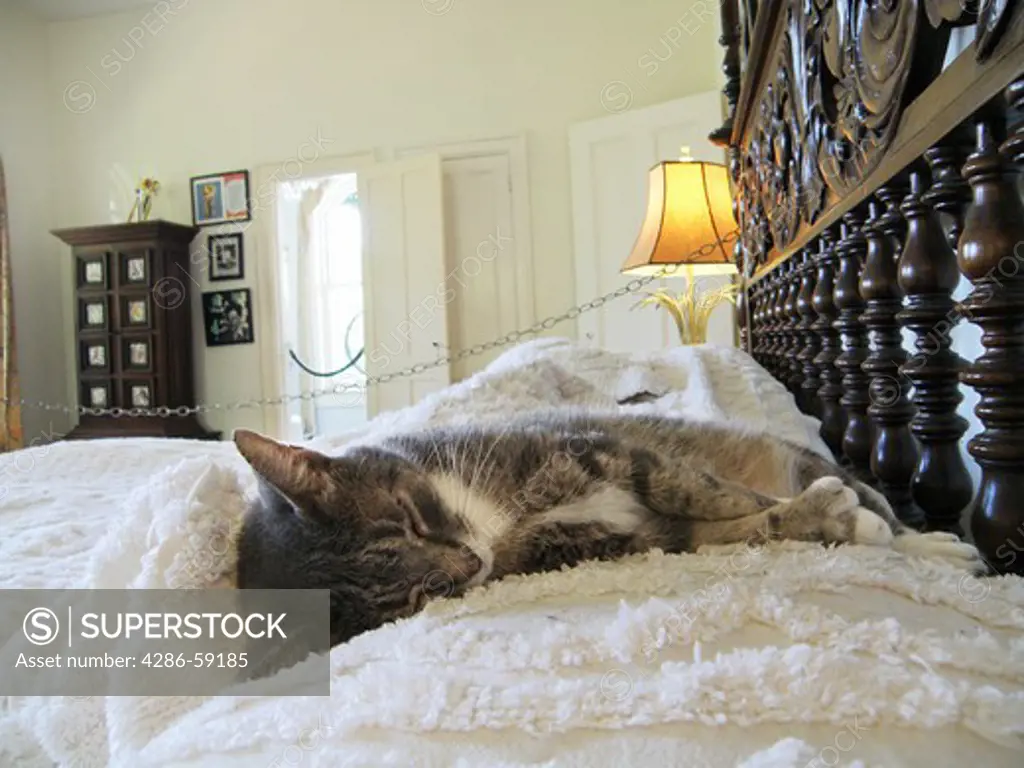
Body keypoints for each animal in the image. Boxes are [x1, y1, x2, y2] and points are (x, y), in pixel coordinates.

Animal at [232, 411, 983, 647]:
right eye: (415, 600)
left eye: (412, 520)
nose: (471, 567)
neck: (499, 526)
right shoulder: (627, 541)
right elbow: (731, 529)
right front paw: (809, 519)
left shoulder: (611, 455)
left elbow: (712, 492)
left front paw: (821, 512)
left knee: (881, 505)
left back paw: (934, 544)